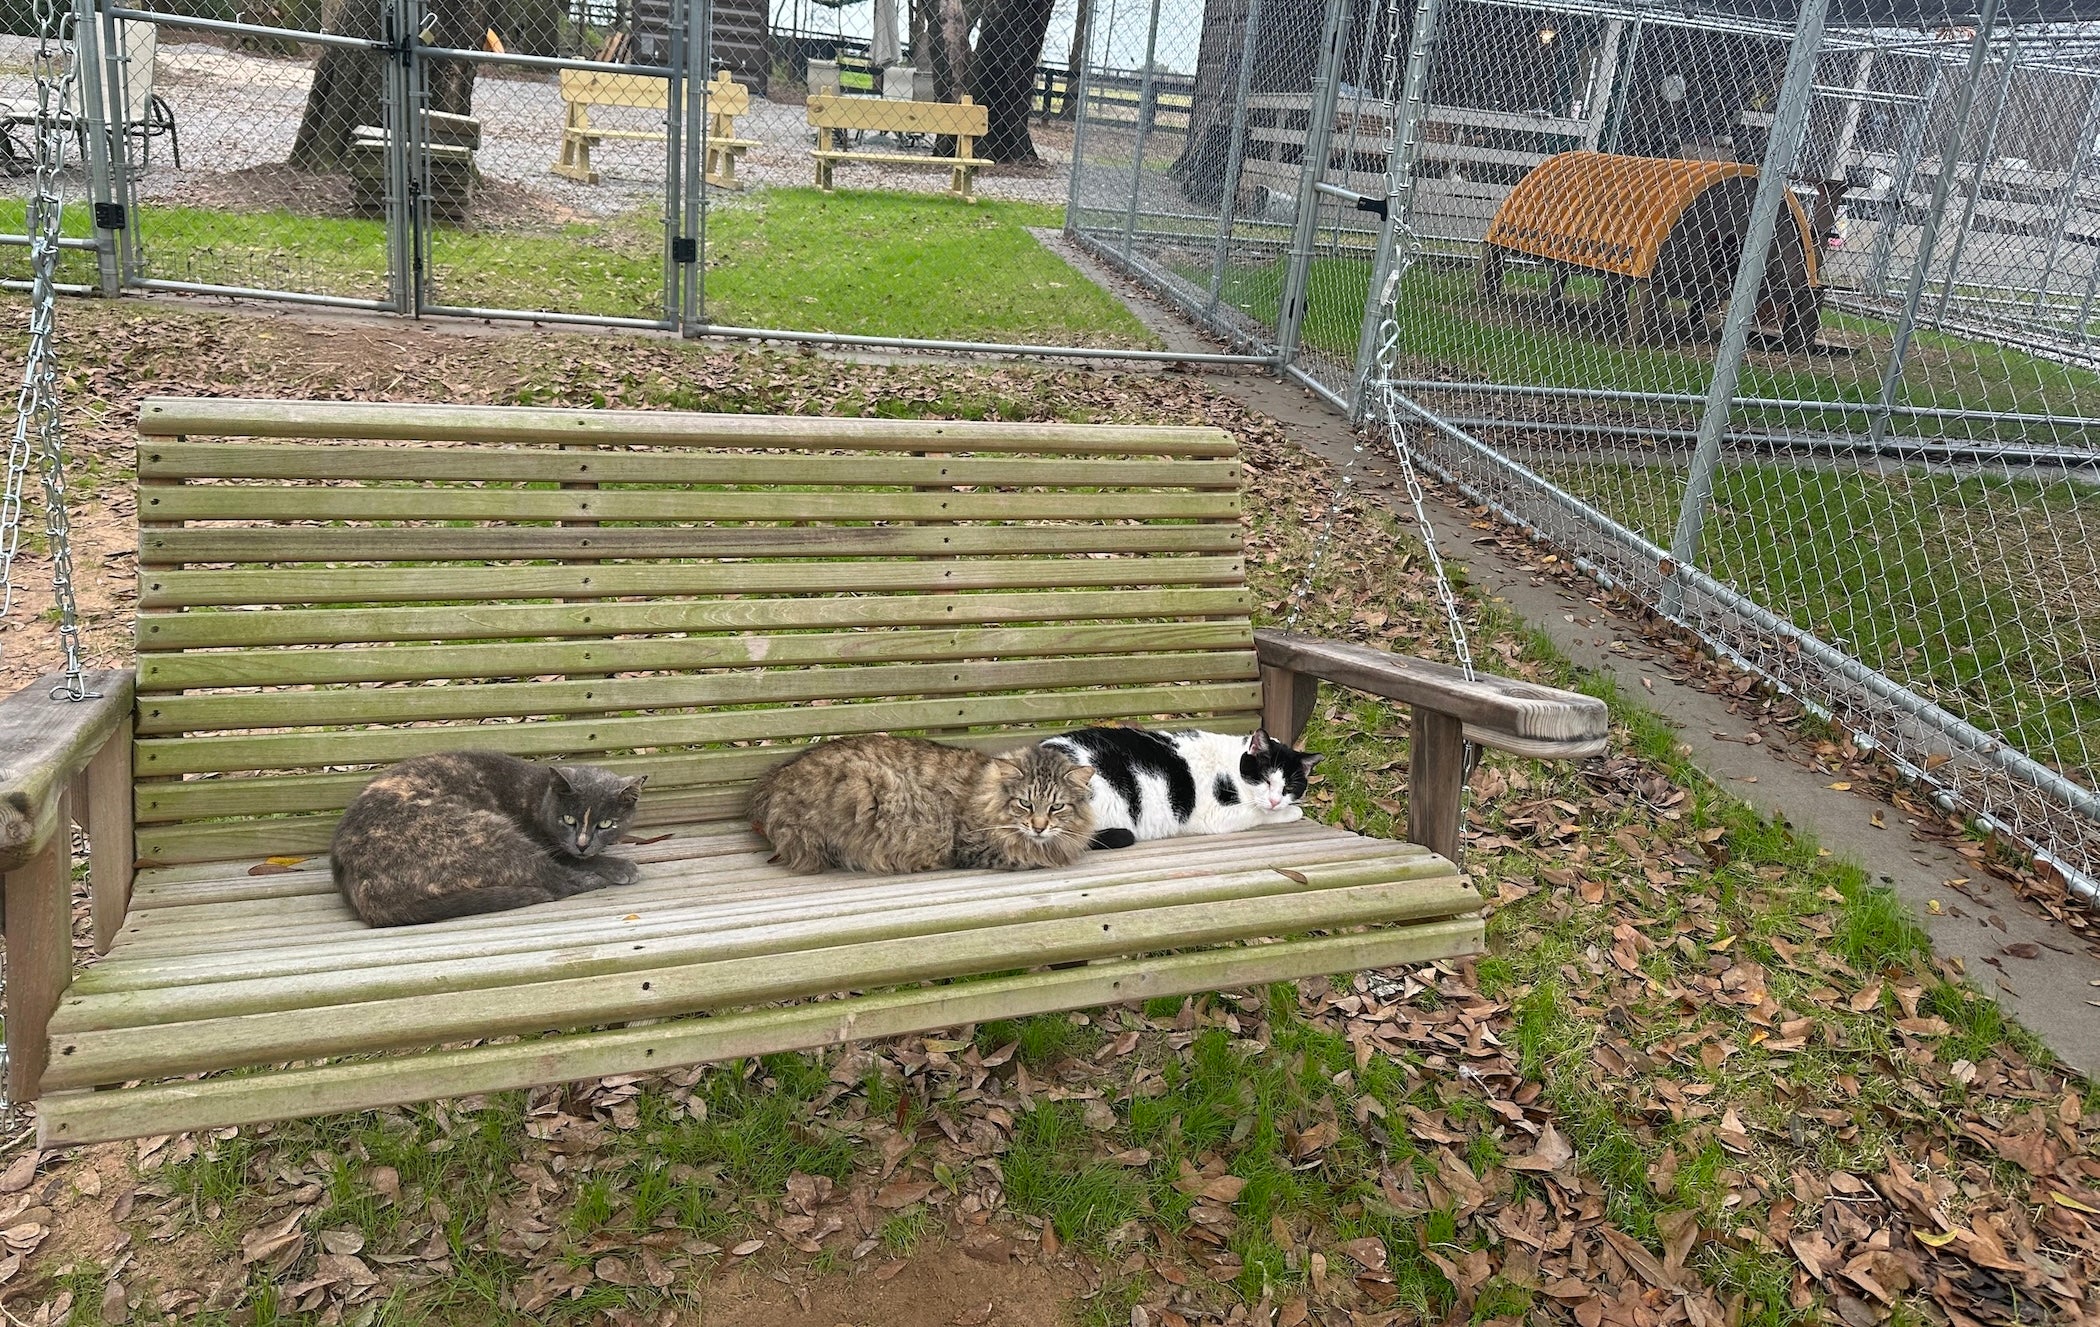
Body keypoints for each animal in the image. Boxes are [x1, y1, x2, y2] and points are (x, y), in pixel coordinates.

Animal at [329, 751, 646, 928]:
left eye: (606, 824)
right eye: (568, 819)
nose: (582, 844)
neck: (538, 795)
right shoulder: (549, 843)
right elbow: (570, 858)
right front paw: (615, 865)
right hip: (489, 832)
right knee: (554, 880)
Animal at [747, 730, 1100, 877]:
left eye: (1056, 807)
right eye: (1025, 804)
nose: (1039, 827)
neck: (984, 790)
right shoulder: (973, 847)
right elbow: (1029, 856)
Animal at [1037, 726, 1318, 848]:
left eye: (1289, 787)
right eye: (1267, 780)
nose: (1275, 801)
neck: (1231, 765)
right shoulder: (1217, 816)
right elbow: (1258, 814)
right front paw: (1292, 812)